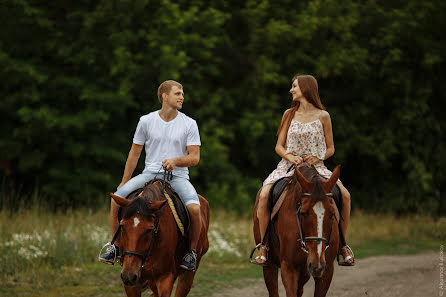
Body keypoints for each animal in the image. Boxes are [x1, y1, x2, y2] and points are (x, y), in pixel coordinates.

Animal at [253, 164, 340, 296]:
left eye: (332, 214)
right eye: (303, 213)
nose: (317, 264)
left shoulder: (327, 270)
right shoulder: (289, 268)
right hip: (270, 265)